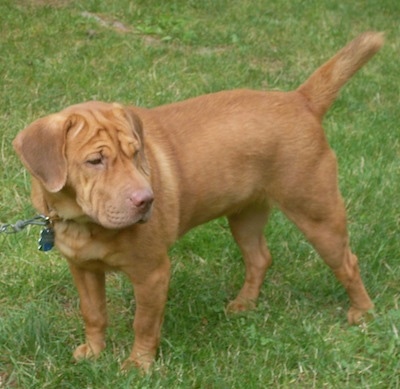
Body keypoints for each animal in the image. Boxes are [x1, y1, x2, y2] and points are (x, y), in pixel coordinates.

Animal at [13, 31, 384, 368]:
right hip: (245, 215)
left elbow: (143, 324)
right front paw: (93, 352)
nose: (147, 200)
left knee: (347, 262)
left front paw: (138, 365)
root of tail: (300, 100)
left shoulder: (152, 273)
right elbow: (93, 313)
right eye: (95, 160)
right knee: (260, 258)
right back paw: (244, 305)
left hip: (317, 213)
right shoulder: (83, 269)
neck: (82, 223)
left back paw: (363, 313)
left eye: (136, 154)